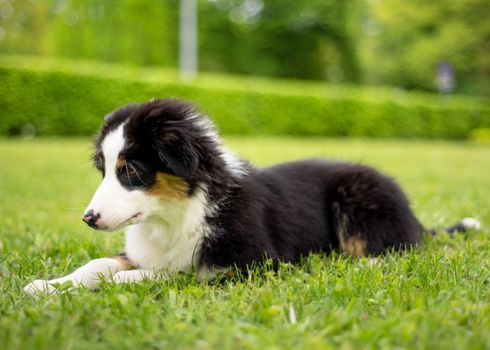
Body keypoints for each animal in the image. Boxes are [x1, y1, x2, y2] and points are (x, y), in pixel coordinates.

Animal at [24, 98, 480, 296]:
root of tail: (415, 216)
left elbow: (178, 271)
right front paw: (49, 285)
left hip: (358, 198)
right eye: (104, 169)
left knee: (391, 250)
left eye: (131, 170)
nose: (88, 218)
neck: (175, 214)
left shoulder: (255, 261)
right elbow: (99, 264)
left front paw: (126, 280)